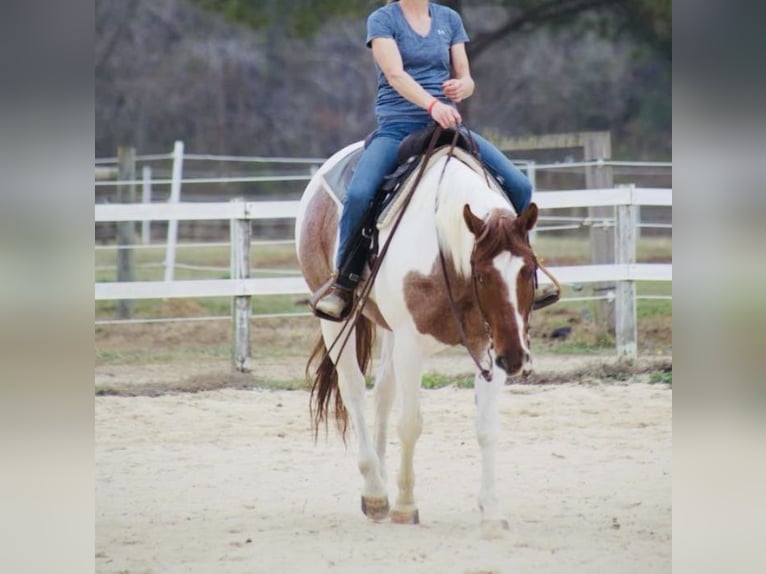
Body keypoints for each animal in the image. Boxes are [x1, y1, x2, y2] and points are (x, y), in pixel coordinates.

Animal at [295, 140, 539, 535]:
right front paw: (406, 506)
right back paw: (376, 493)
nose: (517, 359)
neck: (445, 252)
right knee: (354, 391)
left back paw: (378, 480)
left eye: (529, 269)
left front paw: (492, 512)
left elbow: (486, 428)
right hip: (335, 321)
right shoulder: (412, 345)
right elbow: (410, 424)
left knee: (383, 393)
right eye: (482, 275)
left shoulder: (491, 345)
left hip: (391, 329)